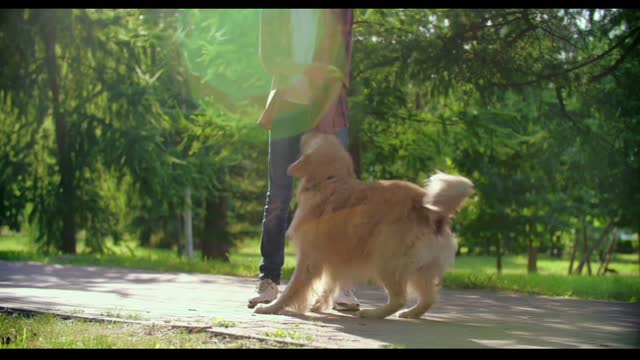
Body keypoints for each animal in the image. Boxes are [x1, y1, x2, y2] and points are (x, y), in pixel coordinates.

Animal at [252, 131, 472, 318]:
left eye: (316, 137)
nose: (309, 129)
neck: (330, 180)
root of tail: (431, 211)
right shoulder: (334, 256)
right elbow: (330, 283)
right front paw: (321, 303)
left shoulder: (309, 257)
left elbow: (292, 288)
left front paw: (272, 308)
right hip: (421, 268)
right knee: (428, 298)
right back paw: (410, 313)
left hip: (385, 258)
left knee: (399, 298)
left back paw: (372, 313)